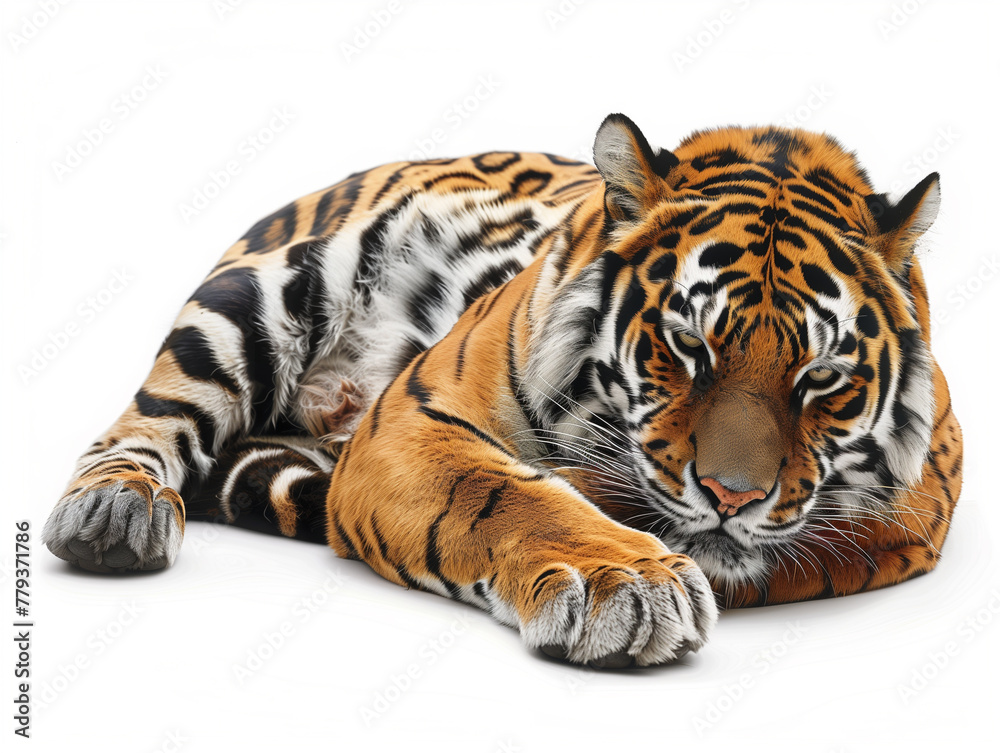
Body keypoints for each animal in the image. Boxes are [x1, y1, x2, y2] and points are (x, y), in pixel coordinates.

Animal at [42, 114, 963, 668]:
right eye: (687, 345)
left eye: (821, 377)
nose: (733, 495)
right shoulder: (412, 416)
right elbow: (511, 493)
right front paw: (623, 584)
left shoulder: (921, 501)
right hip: (259, 293)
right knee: (143, 425)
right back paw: (114, 513)